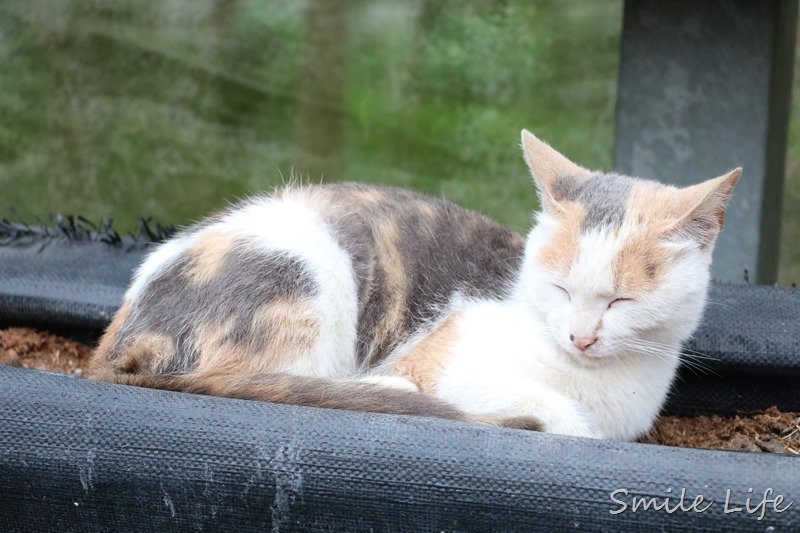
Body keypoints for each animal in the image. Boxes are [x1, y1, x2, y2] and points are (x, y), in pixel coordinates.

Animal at [89, 131, 736, 438]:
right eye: (558, 289)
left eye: (622, 300)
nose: (581, 337)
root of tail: (116, 342)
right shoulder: (450, 362)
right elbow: (565, 420)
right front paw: (569, 420)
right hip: (310, 272)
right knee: (255, 381)